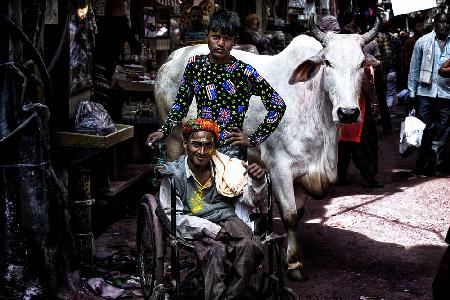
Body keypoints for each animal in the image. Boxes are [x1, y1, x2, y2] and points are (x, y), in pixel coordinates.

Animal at [153, 19, 378, 280]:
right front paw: (294, 263)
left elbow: (299, 213)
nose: (348, 112)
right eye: (327, 62)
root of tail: (176, 55)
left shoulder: (303, 175)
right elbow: (290, 215)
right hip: (173, 143)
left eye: (361, 63)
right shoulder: (280, 168)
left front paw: (287, 255)